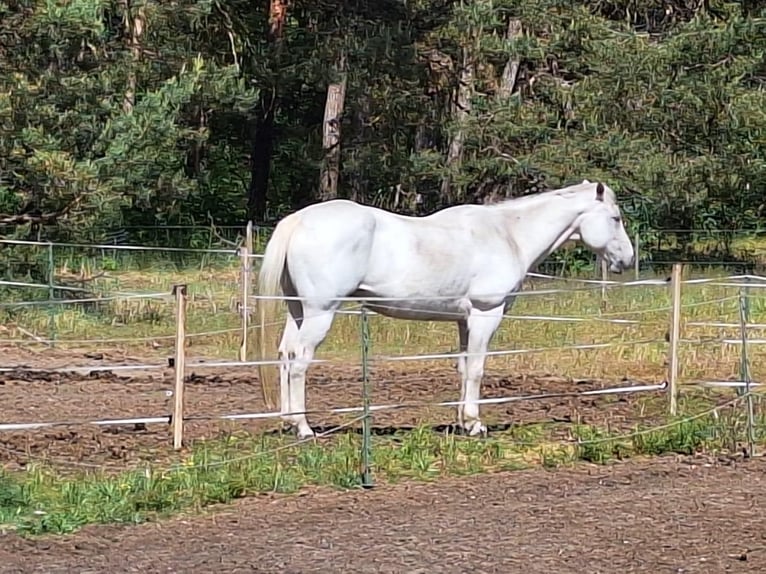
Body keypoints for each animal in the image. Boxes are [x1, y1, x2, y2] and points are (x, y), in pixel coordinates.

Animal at [254, 179, 635, 439]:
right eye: (615, 218)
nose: (628, 260)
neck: (508, 234)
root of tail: (299, 220)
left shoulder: (465, 322)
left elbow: (464, 369)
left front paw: (463, 422)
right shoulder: (486, 314)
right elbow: (478, 370)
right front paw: (476, 425)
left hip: (298, 312)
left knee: (286, 355)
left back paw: (288, 422)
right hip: (320, 313)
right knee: (300, 362)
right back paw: (304, 428)